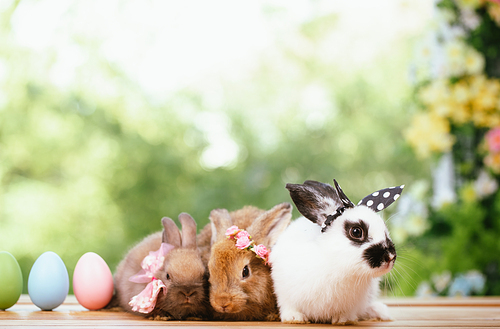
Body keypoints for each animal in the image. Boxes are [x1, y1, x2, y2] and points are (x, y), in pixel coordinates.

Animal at [270, 178, 402, 324]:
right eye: (356, 232)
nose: (390, 256)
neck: (337, 265)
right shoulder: (284, 292)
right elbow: (289, 306)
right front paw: (295, 318)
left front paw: (343, 319)